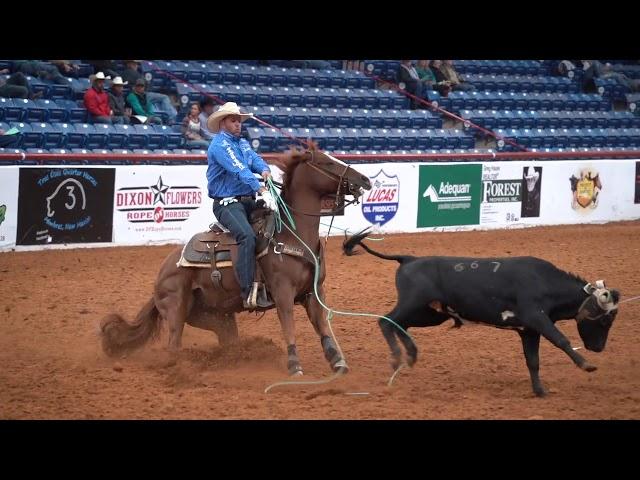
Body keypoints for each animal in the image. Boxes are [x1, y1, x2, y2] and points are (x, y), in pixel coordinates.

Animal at [99, 146, 370, 376]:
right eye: (327, 162)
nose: (364, 180)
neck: (291, 234)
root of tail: (162, 273)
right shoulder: (283, 293)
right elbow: (288, 325)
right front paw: (295, 365)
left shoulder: (313, 292)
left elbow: (322, 326)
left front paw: (338, 361)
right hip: (176, 309)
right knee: (173, 346)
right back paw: (181, 370)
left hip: (217, 318)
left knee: (226, 341)